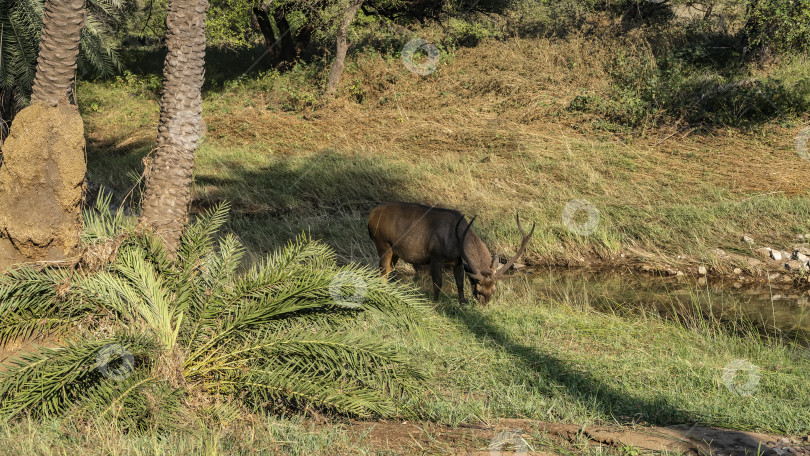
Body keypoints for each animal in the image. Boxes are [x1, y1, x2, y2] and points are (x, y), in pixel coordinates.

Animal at [364, 202, 532, 302]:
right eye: (478, 287)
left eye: (494, 289)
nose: (484, 301)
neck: (457, 244)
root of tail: (371, 216)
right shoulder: (435, 256)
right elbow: (438, 282)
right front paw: (435, 302)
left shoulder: (458, 262)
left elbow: (459, 283)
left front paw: (462, 303)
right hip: (383, 244)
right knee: (382, 272)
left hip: (395, 252)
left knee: (386, 271)